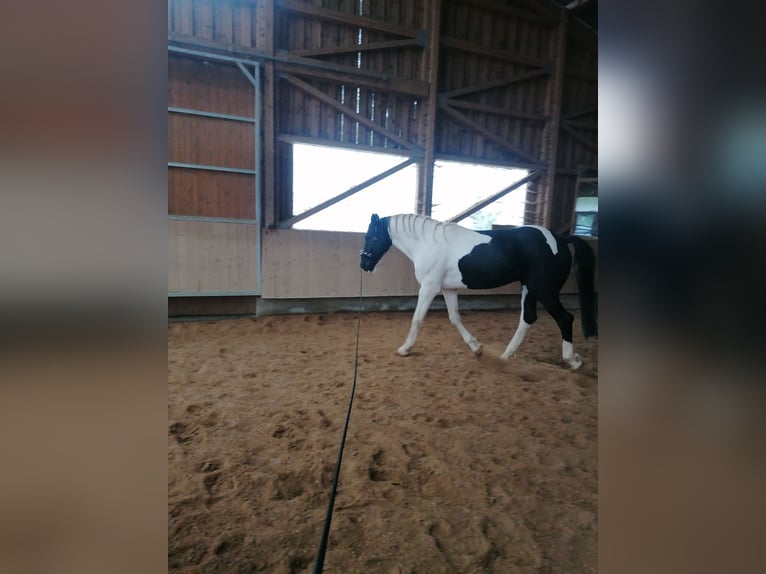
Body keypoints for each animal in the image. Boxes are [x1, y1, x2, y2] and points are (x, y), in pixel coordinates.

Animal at [360, 214, 600, 372]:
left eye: (370, 237)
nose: (364, 264)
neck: (428, 243)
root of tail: (560, 239)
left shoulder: (429, 287)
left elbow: (417, 319)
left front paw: (405, 349)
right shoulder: (447, 288)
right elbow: (454, 318)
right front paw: (477, 348)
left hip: (545, 291)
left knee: (565, 318)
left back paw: (573, 360)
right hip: (529, 288)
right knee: (528, 318)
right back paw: (505, 356)